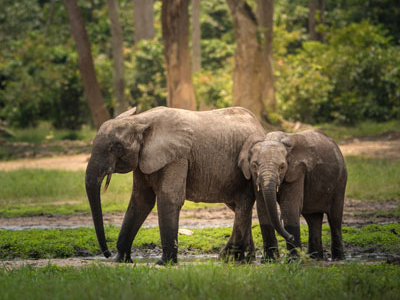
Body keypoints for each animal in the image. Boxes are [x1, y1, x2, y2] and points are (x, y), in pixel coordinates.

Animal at [84, 106, 266, 264]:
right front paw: (121, 260)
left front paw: (164, 263)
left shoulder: (178, 156)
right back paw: (246, 259)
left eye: (117, 147)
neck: (140, 120)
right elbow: (141, 201)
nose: (107, 254)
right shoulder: (144, 159)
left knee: (242, 203)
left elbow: (168, 198)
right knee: (237, 207)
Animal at [238, 129, 346, 260]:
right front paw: (270, 260)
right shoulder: (254, 177)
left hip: (340, 182)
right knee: (313, 219)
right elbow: (263, 208)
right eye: (254, 165)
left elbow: (290, 208)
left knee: (335, 218)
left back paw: (338, 258)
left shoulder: (297, 172)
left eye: (282, 166)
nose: (291, 237)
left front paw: (293, 260)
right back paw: (315, 257)